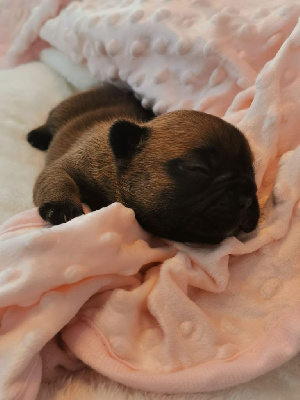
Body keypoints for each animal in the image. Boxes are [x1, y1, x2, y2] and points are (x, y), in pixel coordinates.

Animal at [27, 84, 260, 244]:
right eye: (197, 169)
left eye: (253, 174)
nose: (247, 200)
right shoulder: (65, 166)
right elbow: (59, 179)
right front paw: (62, 207)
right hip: (64, 109)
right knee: (50, 122)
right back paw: (38, 136)